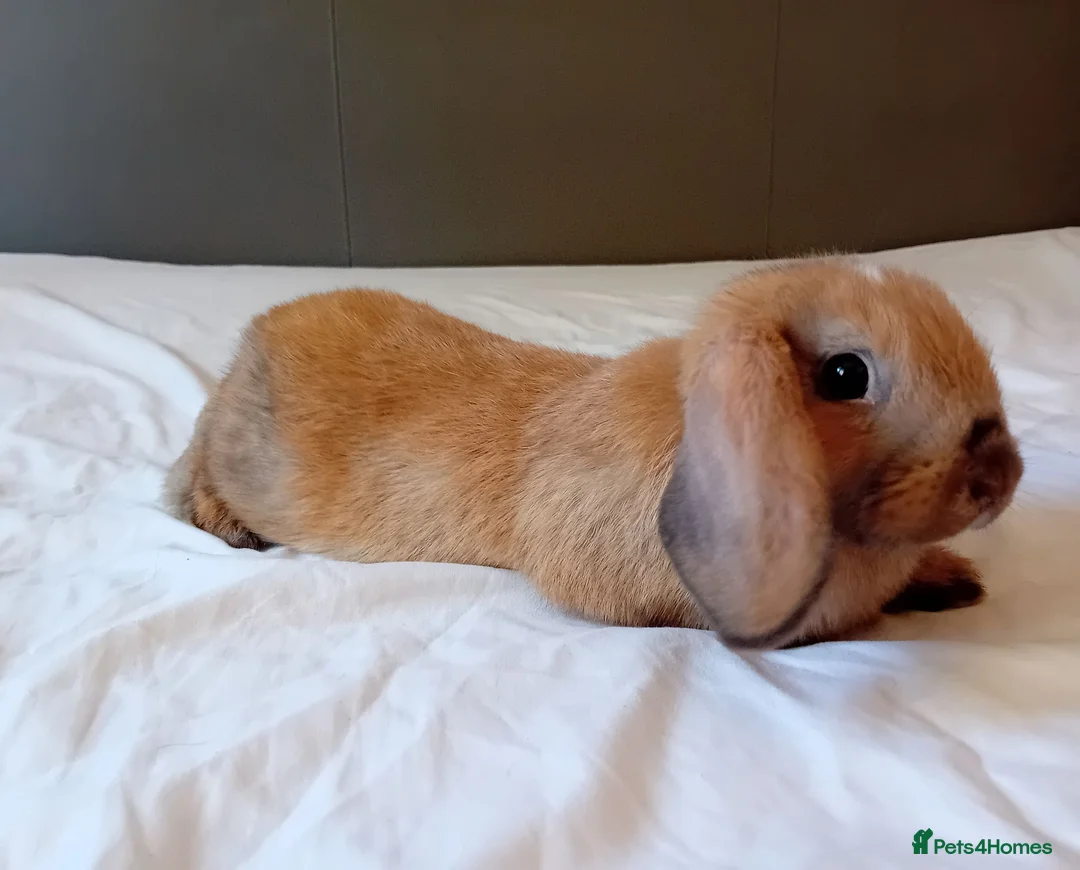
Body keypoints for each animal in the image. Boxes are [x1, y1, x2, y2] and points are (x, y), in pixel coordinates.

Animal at [165, 260, 1023, 649]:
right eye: (847, 374)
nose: (1002, 473)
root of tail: (251, 343)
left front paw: (957, 583)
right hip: (239, 461)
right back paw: (231, 529)